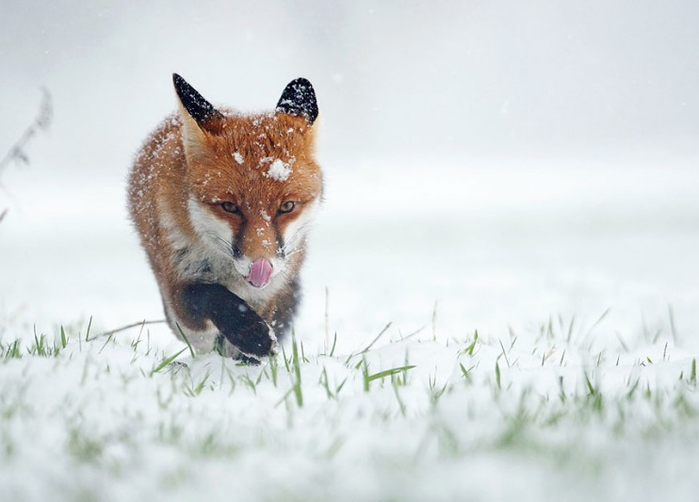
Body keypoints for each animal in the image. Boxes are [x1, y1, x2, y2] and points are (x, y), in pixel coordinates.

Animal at [129, 72, 322, 358]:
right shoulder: (178, 290)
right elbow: (212, 296)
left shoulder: (268, 294)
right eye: (229, 207)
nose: (260, 266)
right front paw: (251, 333)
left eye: (287, 206)